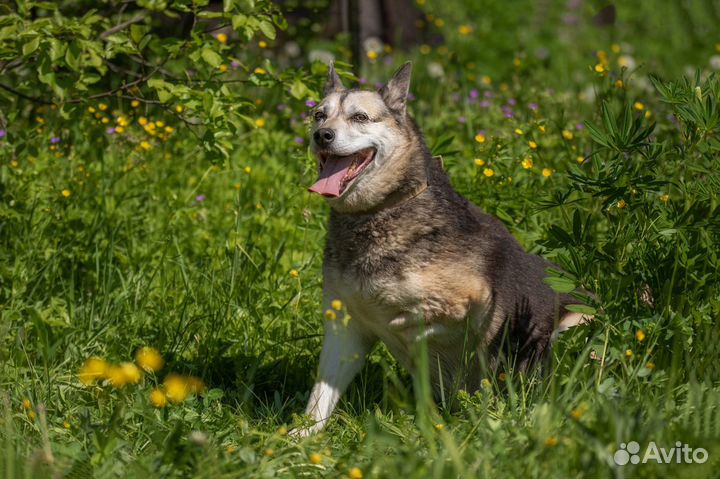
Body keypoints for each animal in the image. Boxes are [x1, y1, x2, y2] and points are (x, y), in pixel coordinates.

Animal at [292, 63, 592, 438]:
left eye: (360, 117)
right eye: (319, 115)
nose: (322, 135)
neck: (384, 208)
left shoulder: (479, 299)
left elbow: (423, 312)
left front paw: (407, 317)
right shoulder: (344, 329)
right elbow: (320, 397)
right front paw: (301, 437)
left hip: (574, 328)